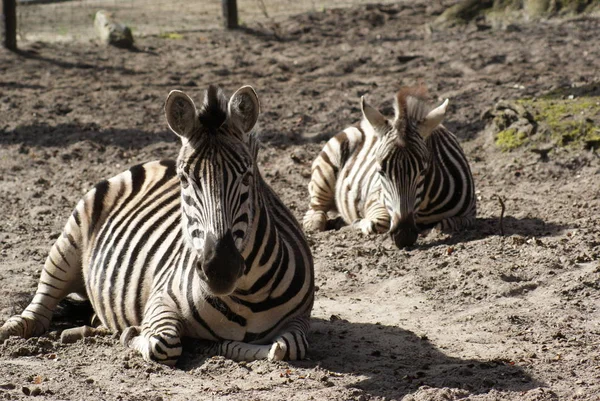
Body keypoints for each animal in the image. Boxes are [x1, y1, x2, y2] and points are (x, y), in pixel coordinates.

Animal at [0, 85, 316, 366]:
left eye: (247, 176)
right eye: (184, 179)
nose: (220, 268)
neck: (246, 296)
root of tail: (155, 161)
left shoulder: (300, 320)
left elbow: (287, 347)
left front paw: (220, 345)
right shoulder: (160, 299)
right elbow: (163, 343)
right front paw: (133, 334)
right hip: (69, 239)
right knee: (41, 305)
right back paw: (14, 328)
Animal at [302, 86, 476, 247]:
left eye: (423, 171)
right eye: (381, 172)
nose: (404, 236)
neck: (424, 207)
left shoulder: (469, 216)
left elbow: (445, 223)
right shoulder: (375, 199)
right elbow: (379, 223)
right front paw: (359, 223)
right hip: (326, 168)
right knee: (315, 210)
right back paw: (320, 223)